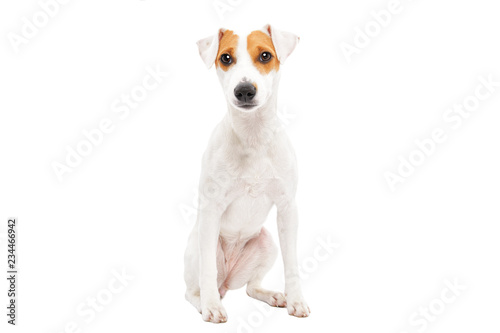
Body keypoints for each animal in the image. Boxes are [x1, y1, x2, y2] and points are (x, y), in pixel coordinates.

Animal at [184, 23, 308, 322]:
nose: (244, 90)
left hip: (267, 243)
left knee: (252, 287)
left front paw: (296, 301)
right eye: (226, 58)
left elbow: (292, 263)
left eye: (265, 55)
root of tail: (228, 280)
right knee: (195, 288)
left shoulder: (288, 209)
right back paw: (206, 301)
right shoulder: (211, 209)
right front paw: (211, 307)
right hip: (198, 246)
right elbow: (206, 273)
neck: (253, 136)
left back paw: (272, 295)